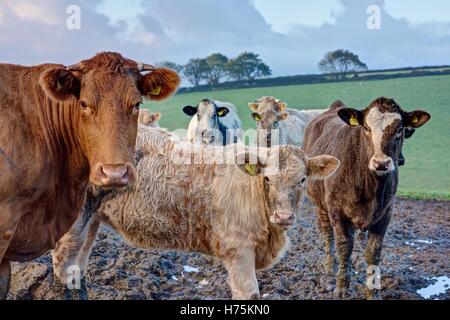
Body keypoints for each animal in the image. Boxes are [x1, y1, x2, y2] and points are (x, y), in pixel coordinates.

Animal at [304, 98, 430, 300]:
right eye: (366, 128)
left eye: (399, 129)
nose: (381, 163)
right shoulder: (337, 211)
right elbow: (344, 246)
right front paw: (341, 287)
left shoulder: (386, 213)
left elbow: (373, 253)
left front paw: (373, 292)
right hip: (320, 205)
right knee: (326, 232)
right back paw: (331, 266)